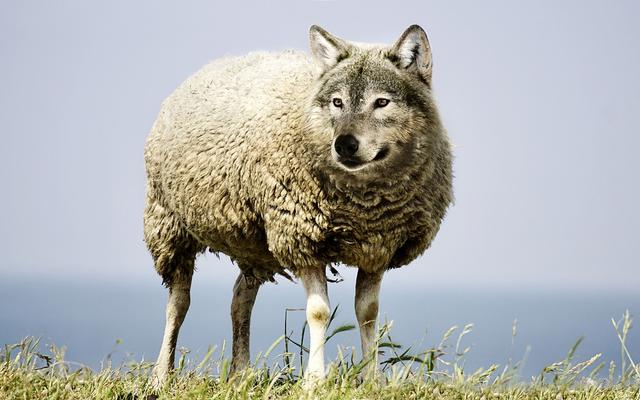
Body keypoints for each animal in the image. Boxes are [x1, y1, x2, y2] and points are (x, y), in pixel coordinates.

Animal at [144, 24, 453, 386]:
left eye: (382, 102)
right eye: (337, 102)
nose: (345, 145)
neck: (363, 205)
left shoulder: (378, 247)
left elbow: (368, 313)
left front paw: (372, 378)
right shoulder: (302, 239)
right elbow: (319, 312)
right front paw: (315, 380)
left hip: (255, 244)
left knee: (240, 298)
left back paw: (240, 373)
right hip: (168, 224)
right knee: (178, 302)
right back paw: (161, 375)